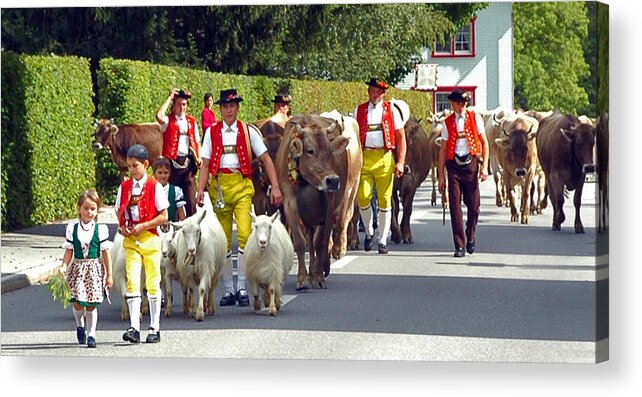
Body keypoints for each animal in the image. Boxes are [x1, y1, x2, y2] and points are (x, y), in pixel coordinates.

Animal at [274, 113, 348, 290]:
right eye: (310, 151)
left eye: (330, 151)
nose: (333, 180)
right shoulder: (290, 206)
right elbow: (301, 243)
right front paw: (302, 279)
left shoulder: (327, 209)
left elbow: (320, 241)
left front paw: (318, 277)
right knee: (310, 239)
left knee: (321, 240)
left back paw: (320, 270)